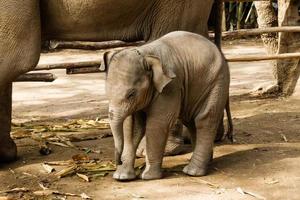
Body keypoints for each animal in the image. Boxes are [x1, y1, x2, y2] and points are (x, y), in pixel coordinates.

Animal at [105, 31, 230, 181]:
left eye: (131, 94)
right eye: (106, 90)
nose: (118, 161)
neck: (145, 54)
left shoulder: (171, 86)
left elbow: (157, 124)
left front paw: (148, 177)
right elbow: (133, 127)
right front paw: (122, 177)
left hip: (216, 83)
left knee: (204, 119)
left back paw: (192, 171)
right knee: (191, 121)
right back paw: (204, 162)